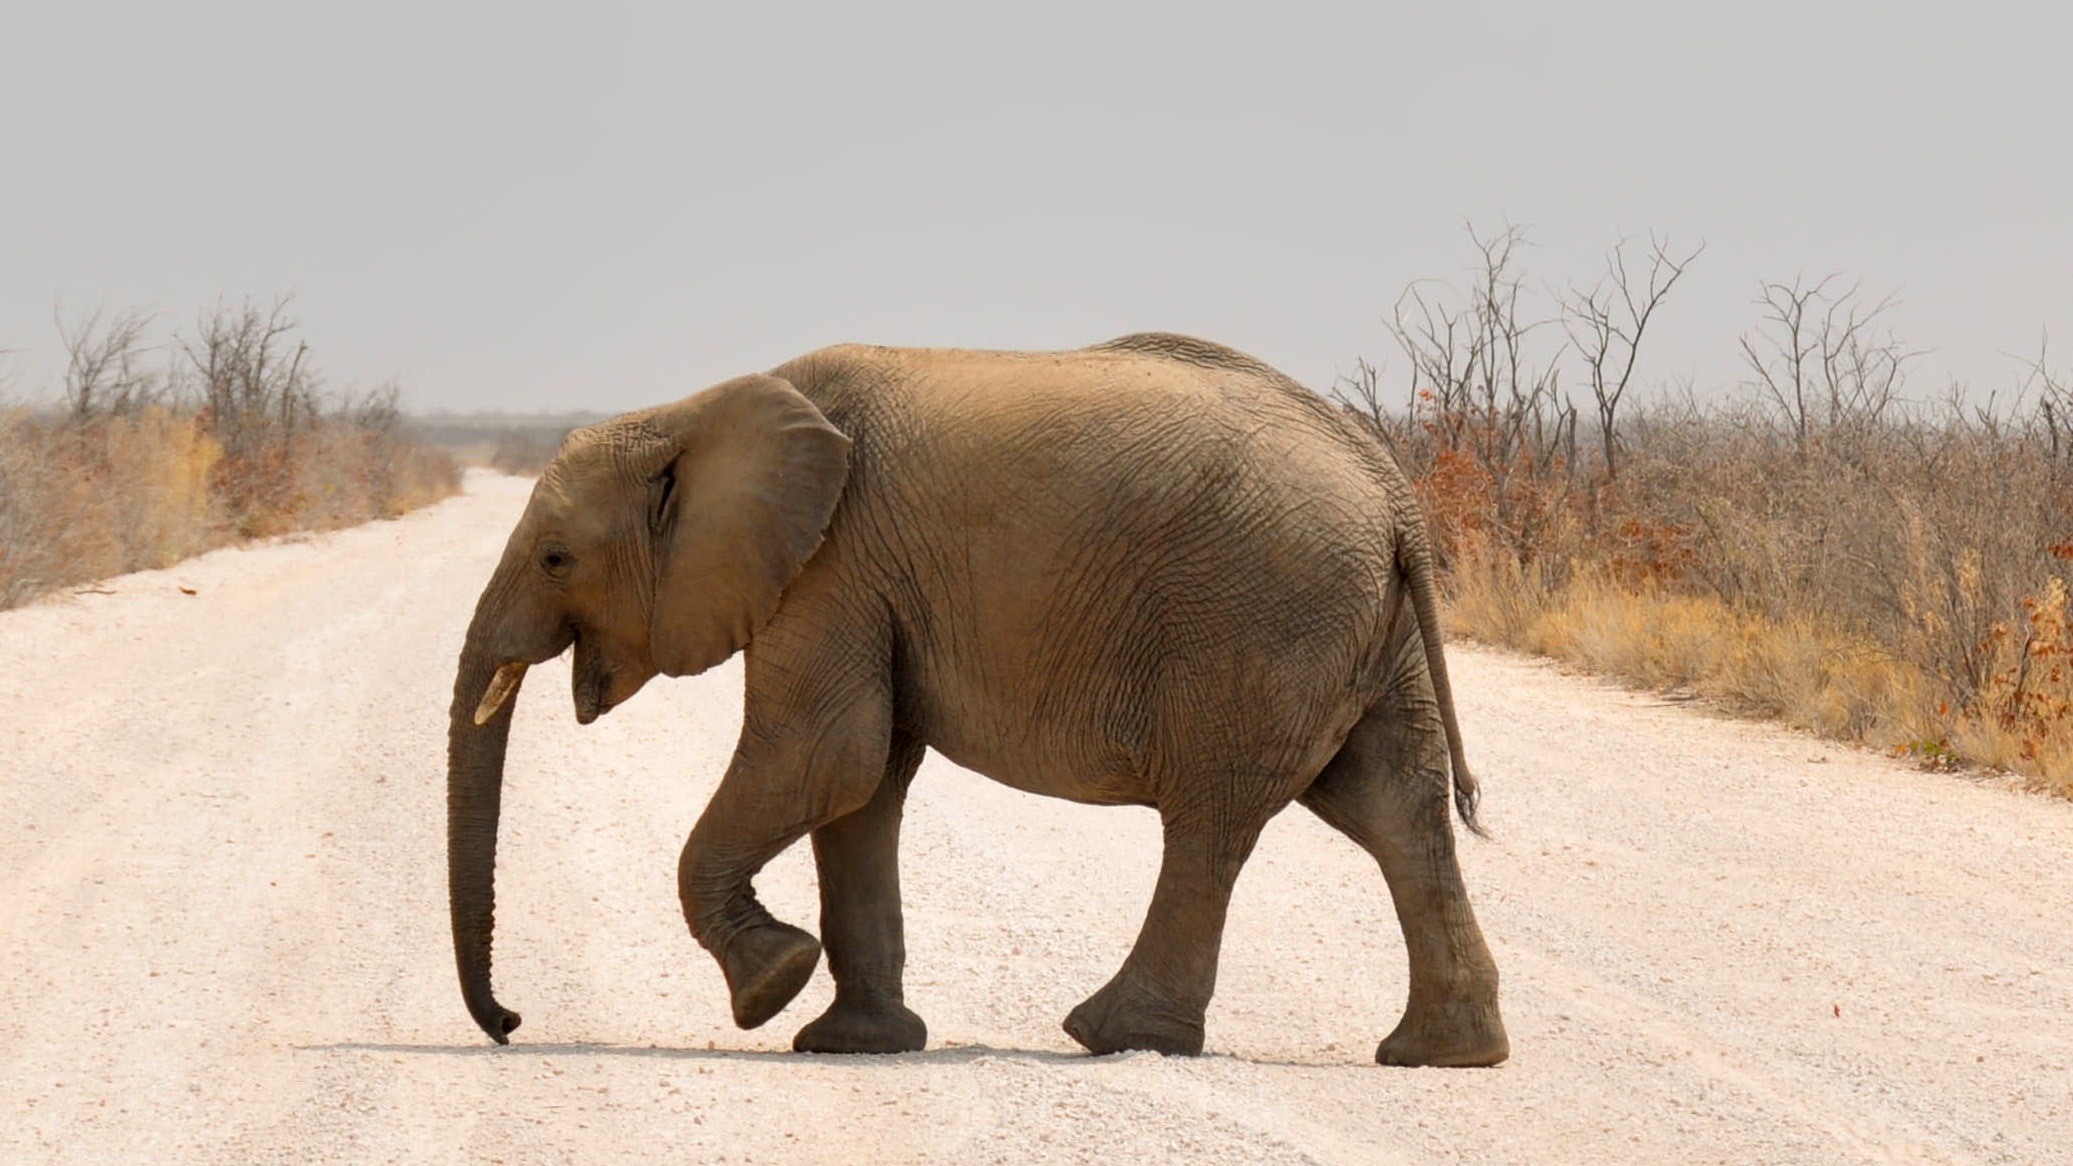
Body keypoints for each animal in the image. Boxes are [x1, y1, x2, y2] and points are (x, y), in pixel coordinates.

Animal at [445, 329, 1509, 1062]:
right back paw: (1442, 1055)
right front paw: (851, 1043)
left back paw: (1112, 1035)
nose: (511, 1021)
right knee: (1394, 808)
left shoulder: (830, 566)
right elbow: (861, 784)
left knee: (1214, 818)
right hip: (1362, 630)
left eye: (555, 558)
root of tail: (1391, 491)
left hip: (1259, 617)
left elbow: (823, 758)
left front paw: (770, 990)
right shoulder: (861, 581)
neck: (689, 414)